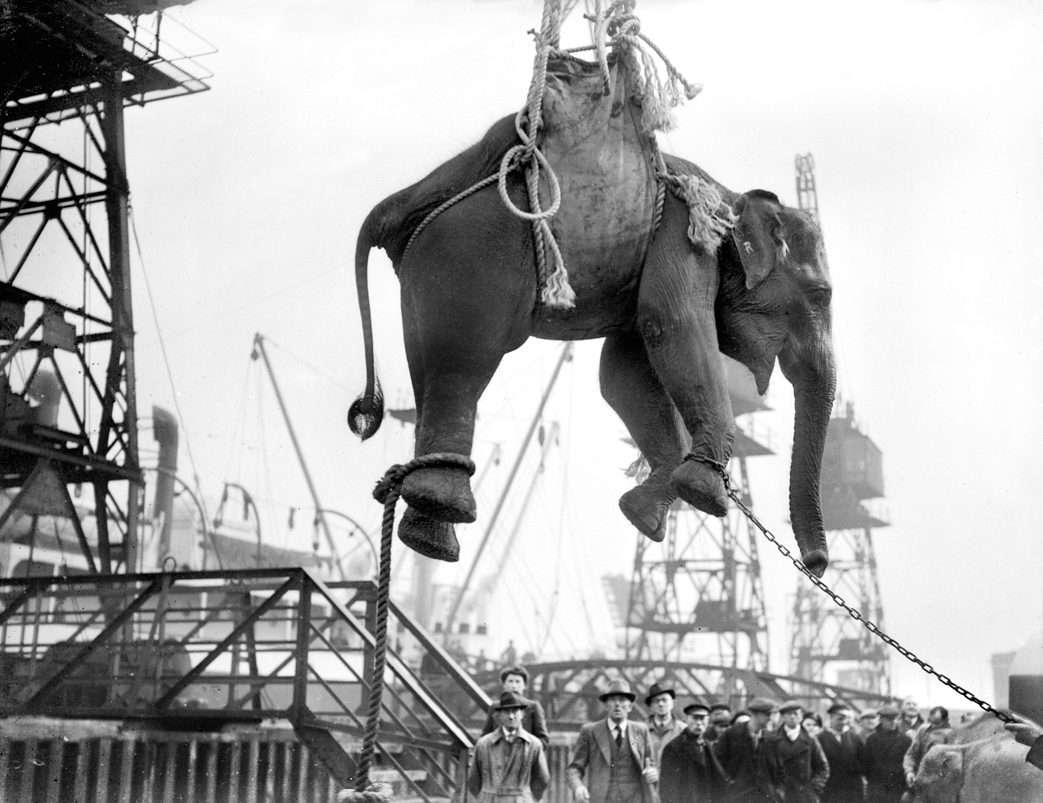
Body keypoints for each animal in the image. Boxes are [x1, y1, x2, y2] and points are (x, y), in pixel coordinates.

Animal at [352, 51, 838, 575]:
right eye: (822, 295)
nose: (814, 564)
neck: (728, 196)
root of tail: (397, 205)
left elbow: (625, 372)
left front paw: (644, 514)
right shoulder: (684, 240)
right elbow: (674, 329)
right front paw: (705, 492)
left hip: (425, 272)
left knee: (430, 365)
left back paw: (430, 536)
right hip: (471, 256)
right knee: (467, 358)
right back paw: (446, 504)